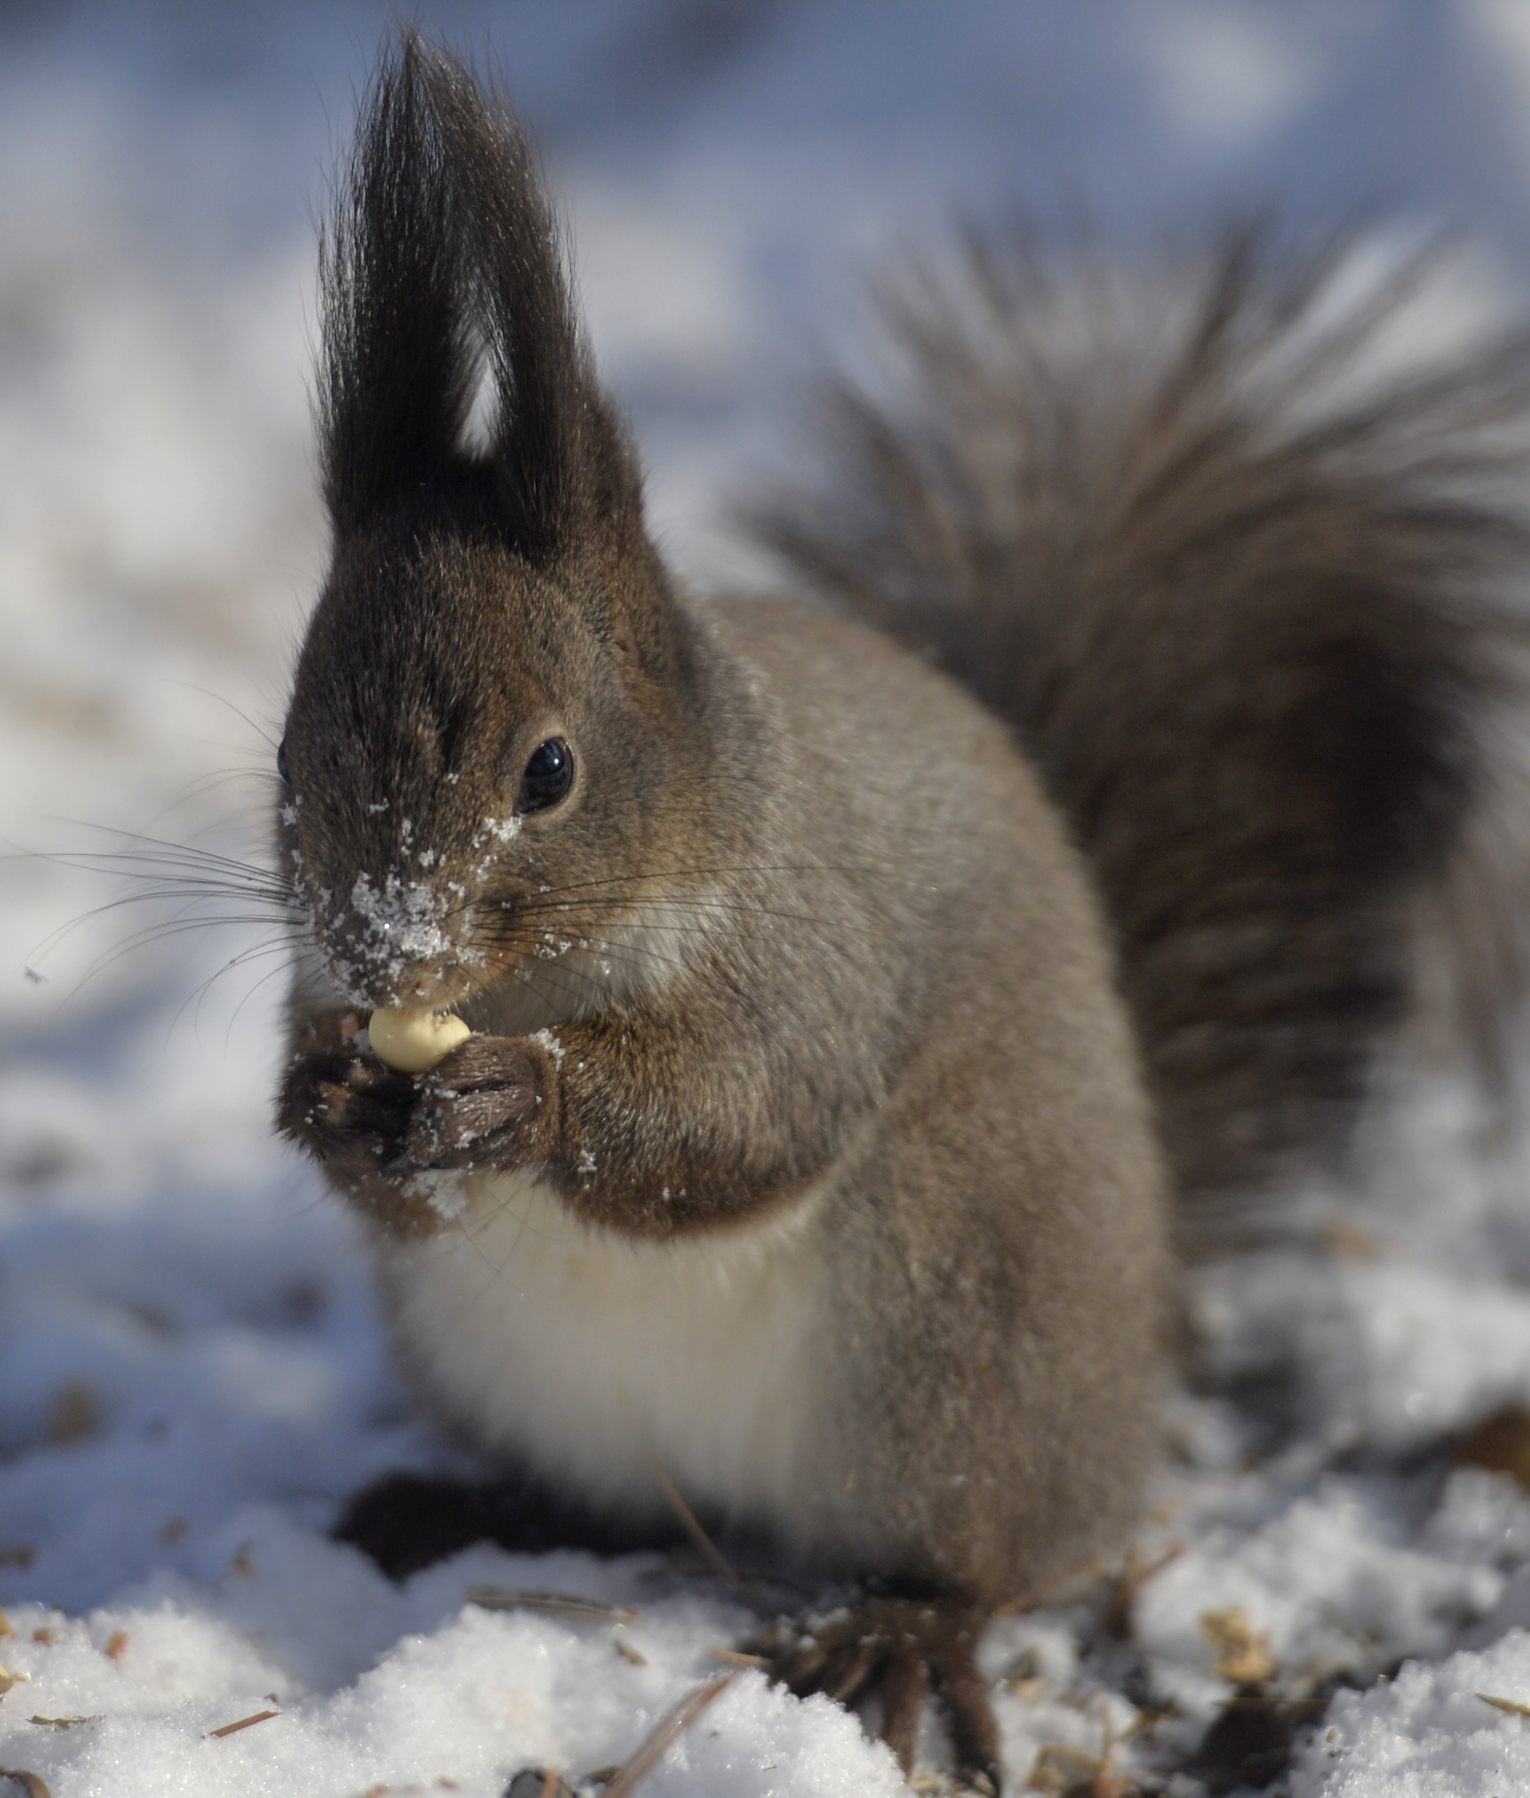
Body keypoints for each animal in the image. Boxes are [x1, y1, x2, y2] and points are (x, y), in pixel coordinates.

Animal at [275, 35, 1530, 1790]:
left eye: (550, 768)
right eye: (289, 747)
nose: (386, 950)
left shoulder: (817, 945)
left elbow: (740, 1118)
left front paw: (519, 1097)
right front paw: (326, 1098)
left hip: (955, 1330)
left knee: (982, 1549)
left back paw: (901, 1630)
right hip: (499, 1363)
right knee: (607, 1502)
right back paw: (459, 1505)